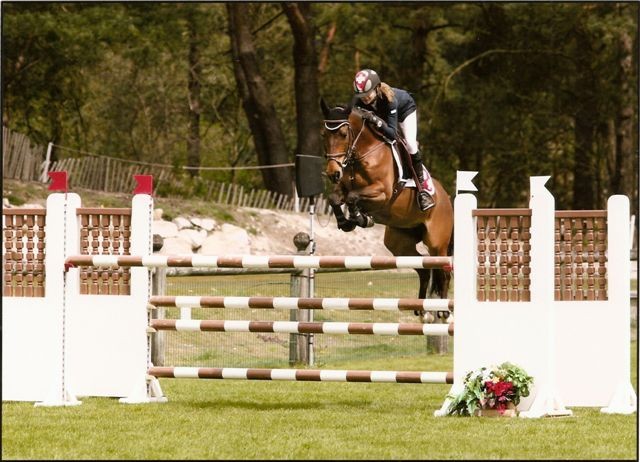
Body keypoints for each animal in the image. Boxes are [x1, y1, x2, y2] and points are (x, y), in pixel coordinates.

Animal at [320, 100, 456, 318]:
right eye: (323, 135)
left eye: (343, 134)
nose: (333, 173)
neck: (362, 153)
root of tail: (447, 198)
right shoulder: (343, 187)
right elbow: (335, 198)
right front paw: (347, 222)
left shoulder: (382, 192)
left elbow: (353, 197)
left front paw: (361, 218)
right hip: (399, 244)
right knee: (423, 268)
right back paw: (420, 307)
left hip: (437, 242)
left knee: (443, 270)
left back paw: (443, 311)